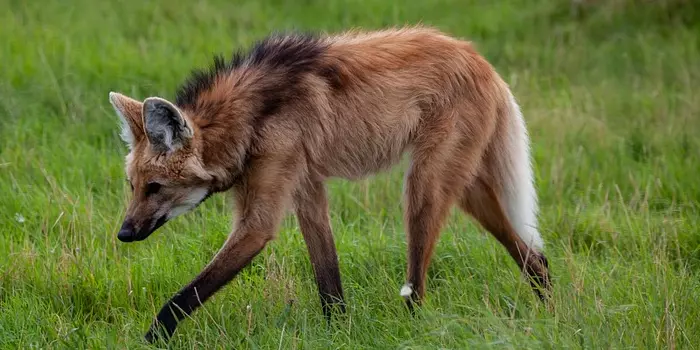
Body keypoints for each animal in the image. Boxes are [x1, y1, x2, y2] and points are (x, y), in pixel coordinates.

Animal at [106, 26, 548, 344]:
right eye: (133, 186)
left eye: (155, 187)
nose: (124, 234)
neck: (249, 120)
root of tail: (480, 60)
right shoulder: (307, 187)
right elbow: (328, 280)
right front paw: (339, 332)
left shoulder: (260, 219)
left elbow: (184, 297)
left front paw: (151, 339)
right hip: (467, 187)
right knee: (534, 255)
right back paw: (550, 309)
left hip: (424, 187)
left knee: (419, 284)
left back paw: (414, 329)